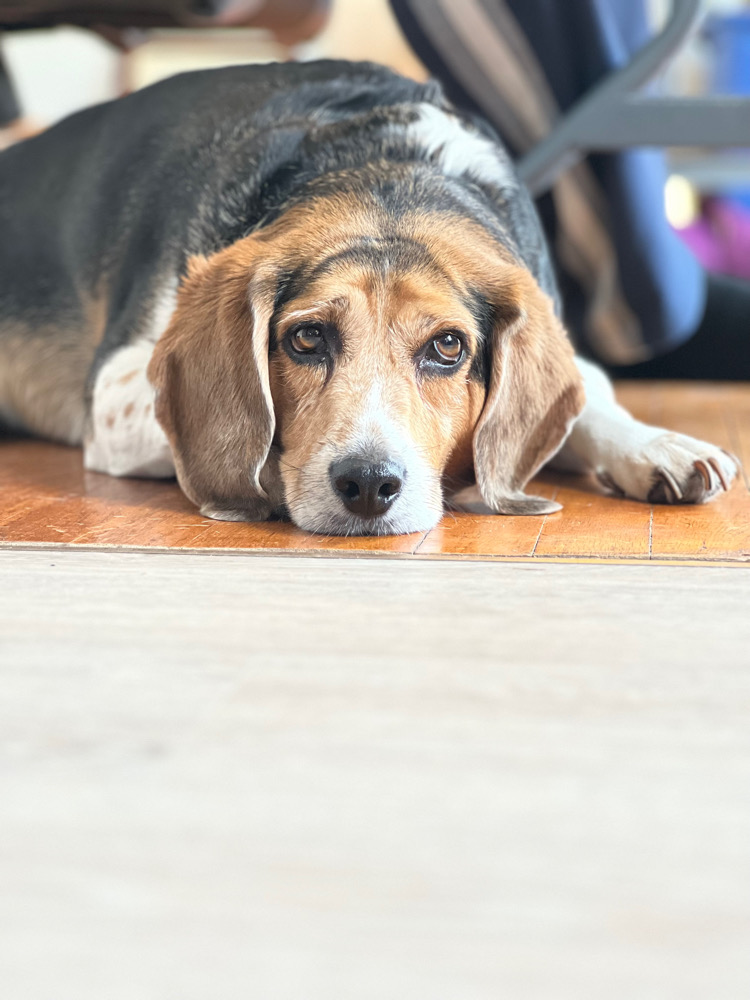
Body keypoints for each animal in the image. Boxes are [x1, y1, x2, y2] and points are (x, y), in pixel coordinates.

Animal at [0, 61, 737, 535]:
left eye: (448, 347)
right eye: (305, 338)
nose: (367, 485)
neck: (392, 165)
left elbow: (590, 397)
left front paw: (654, 445)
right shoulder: (116, 395)